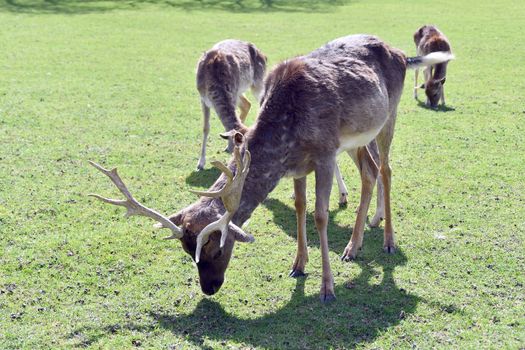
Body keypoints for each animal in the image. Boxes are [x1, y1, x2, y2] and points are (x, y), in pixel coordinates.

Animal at [195, 39, 266, 171]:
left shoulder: (232, 94)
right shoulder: (203, 99)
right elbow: (206, 128)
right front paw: (200, 164)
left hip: (257, 83)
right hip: (239, 92)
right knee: (247, 104)